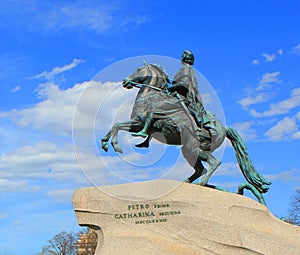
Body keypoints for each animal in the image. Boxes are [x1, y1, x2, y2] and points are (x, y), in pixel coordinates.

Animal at [101, 62, 272, 194]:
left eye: (138, 69)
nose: (125, 81)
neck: (152, 96)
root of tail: (224, 129)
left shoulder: (140, 123)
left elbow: (122, 125)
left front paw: (116, 146)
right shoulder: (135, 124)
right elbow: (114, 126)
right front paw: (104, 143)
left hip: (193, 147)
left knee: (214, 163)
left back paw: (200, 183)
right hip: (188, 150)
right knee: (200, 169)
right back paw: (187, 182)